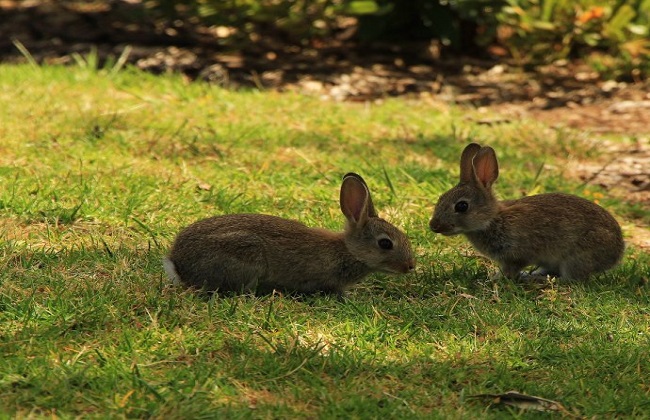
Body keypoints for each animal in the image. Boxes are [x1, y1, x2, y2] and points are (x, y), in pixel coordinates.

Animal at [426, 143, 624, 280]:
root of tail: (618, 252)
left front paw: (494, 279)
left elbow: (511, 269)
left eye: (461, 206)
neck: (492, 219)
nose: (434, 226)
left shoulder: (516, 255)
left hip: (577, 258)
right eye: (441, 198)